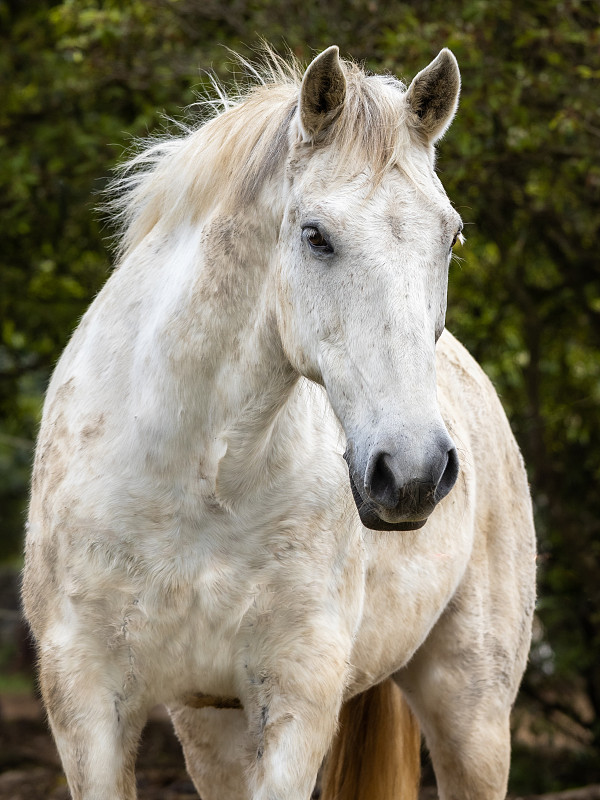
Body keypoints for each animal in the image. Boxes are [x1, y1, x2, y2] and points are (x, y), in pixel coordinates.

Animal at [23, 45, 536, 800]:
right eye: (316, 236)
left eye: (451, 236)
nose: (413, 471)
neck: (199, 479)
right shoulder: (85, 698)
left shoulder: (298, 695)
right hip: (212, 728)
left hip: (473, 710)